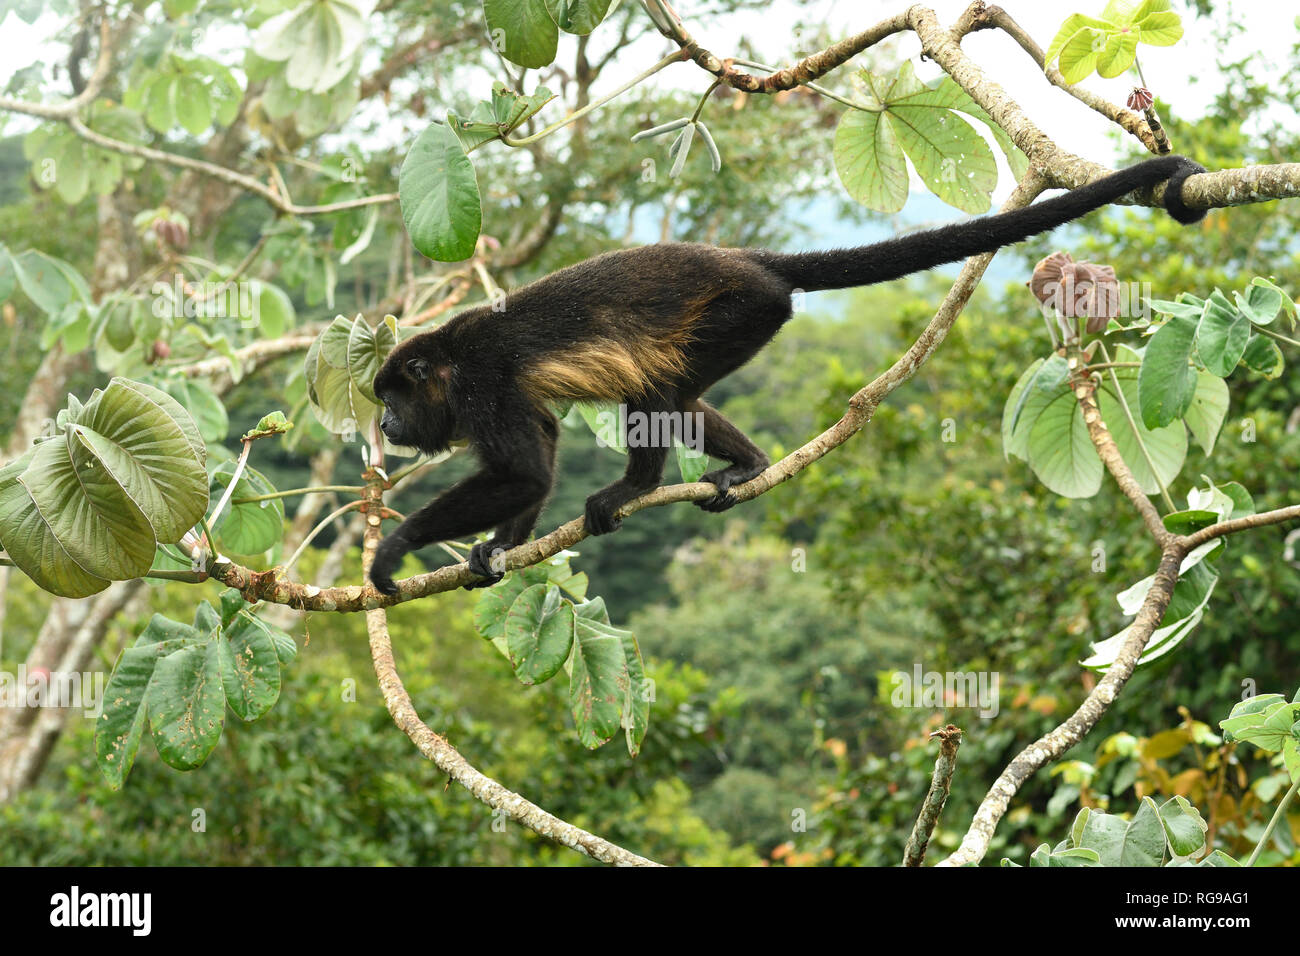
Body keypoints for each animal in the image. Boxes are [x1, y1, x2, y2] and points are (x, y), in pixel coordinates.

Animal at [368, 155, 1207, 594]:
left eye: (393, 395)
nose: (380, 422)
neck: (447, 363)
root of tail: (750, 261)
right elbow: (538, 449)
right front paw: (495, 548)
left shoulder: (482, 380)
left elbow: (523, 469)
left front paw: (394, 547)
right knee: (679, 395)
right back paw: (747, 463)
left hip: (742, 310)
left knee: (656, 395)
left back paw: (635, 487)